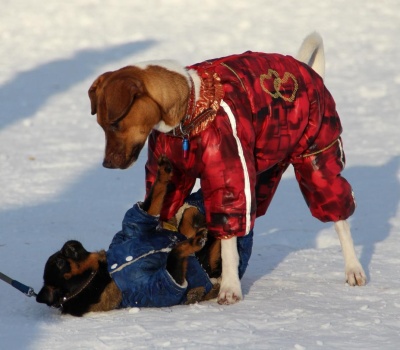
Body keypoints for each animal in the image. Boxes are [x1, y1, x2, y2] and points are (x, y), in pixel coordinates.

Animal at [87, 34, 366, 304]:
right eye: (100, 125)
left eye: (115, 124)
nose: (106, 164)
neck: (191, 110)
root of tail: (308, 70)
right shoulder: (175, 178)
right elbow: (166, 212)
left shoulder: (230, 173)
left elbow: (228, 236)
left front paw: (230, 288)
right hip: (264, 175)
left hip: (316, 159)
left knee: (338, 217)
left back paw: (353, 269)